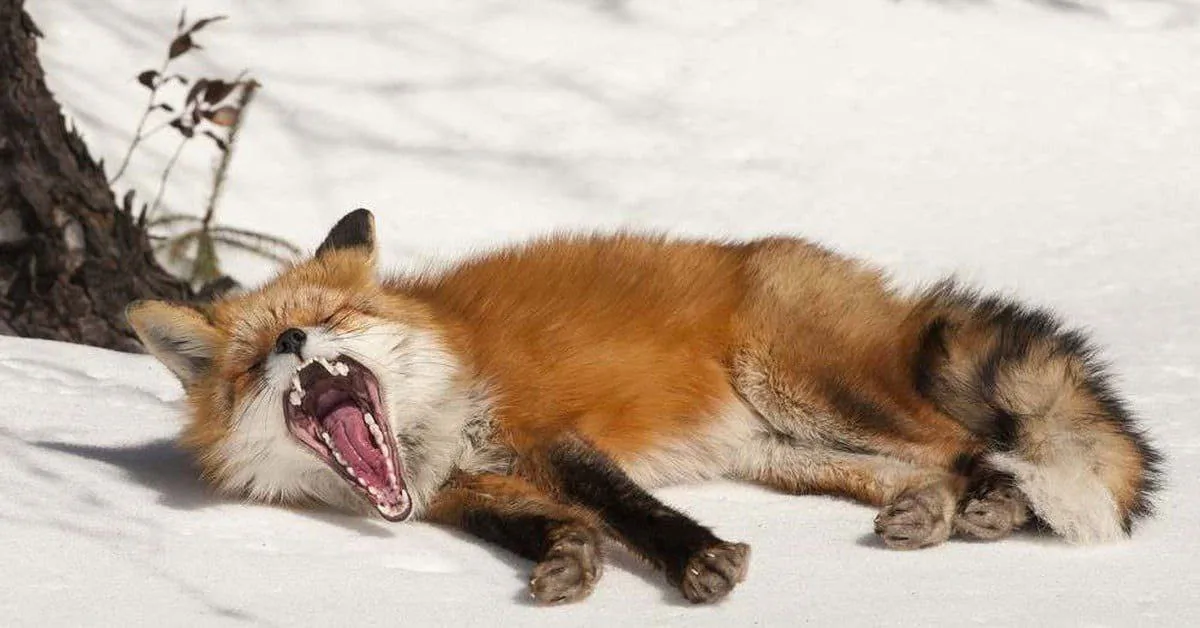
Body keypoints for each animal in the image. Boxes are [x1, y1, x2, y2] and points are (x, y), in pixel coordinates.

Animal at [127, 209, 1160, 604]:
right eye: (253, 358)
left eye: (334, 317)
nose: (295, 344)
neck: (429, 436)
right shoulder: (461, 490)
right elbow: (541, 527)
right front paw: (568, 561)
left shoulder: (543, 432)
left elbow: (626, 506)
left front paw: (700, 563)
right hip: (784, 450)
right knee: (923, 466)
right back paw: (931, 514)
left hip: (805, 390)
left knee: (966, 442)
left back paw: (997, 503)